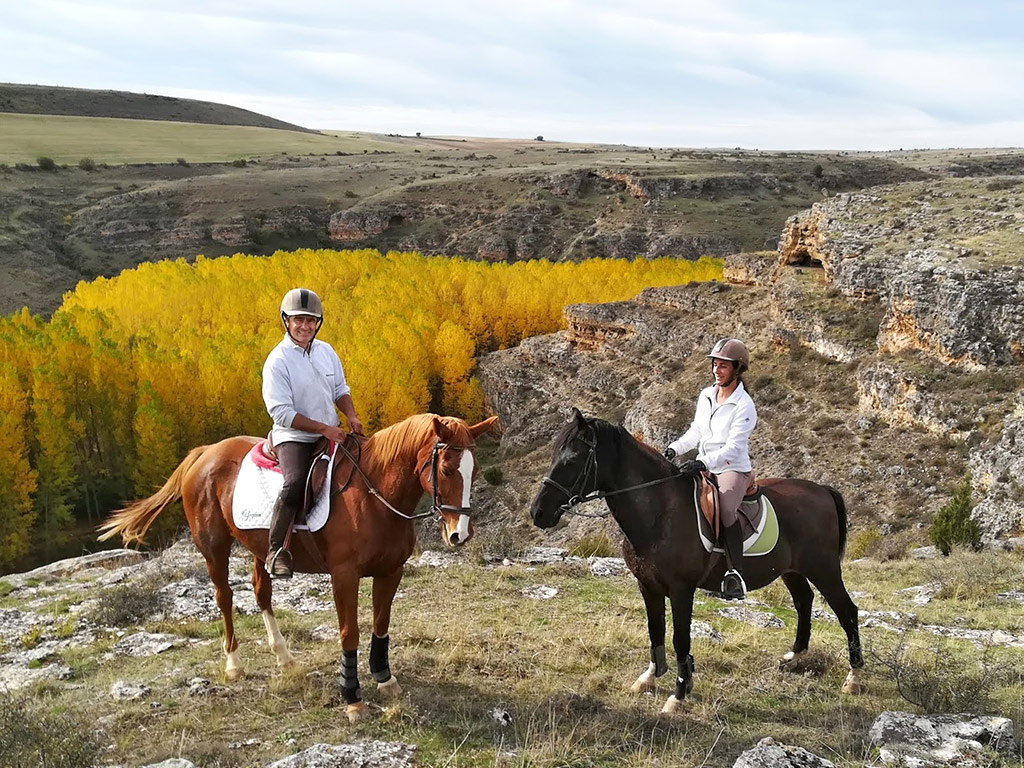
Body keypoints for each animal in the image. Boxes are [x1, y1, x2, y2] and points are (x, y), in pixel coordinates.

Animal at [100, 412, 498, 722]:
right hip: (214, 550)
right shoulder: (344, 576)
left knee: (262, 593)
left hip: (261, 548)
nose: (460, 534)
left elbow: (381, 627)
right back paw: (233, 664)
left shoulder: (391, 572)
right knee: (225, 598)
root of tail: (204, 453)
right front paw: (352, 698)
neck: (375, 497)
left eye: (474, 469)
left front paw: (385, 679)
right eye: (445, 469)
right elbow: (349, 633)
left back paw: (285, 659)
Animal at [529, 409, 862, 714]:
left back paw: (853, 677)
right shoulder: (647, 586)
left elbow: (680, 640)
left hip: (823, 569)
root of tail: (822, 490)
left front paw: (677, 696)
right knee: (804, 601)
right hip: (792, 570)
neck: (660, 512)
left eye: (571, 460)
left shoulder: (681, 590)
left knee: (847, 612)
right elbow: (655, 631)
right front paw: (649, 678)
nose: (538, 513)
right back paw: (794, 656)